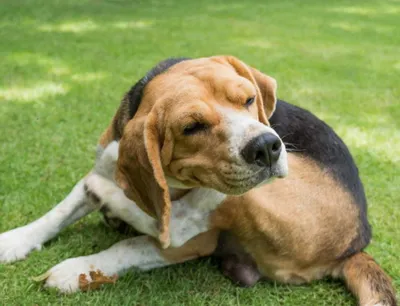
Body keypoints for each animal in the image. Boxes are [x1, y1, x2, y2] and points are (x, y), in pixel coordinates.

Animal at [0, 55, 396, 306]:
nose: (268, 146)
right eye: (192, 127)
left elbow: (129, 246)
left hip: (249, 197)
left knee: (171, 223)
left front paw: (75, 269)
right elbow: (56, 214)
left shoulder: (192, 240)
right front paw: (14, 241)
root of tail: (356, 244)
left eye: (249, 99)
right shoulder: (101, 164)